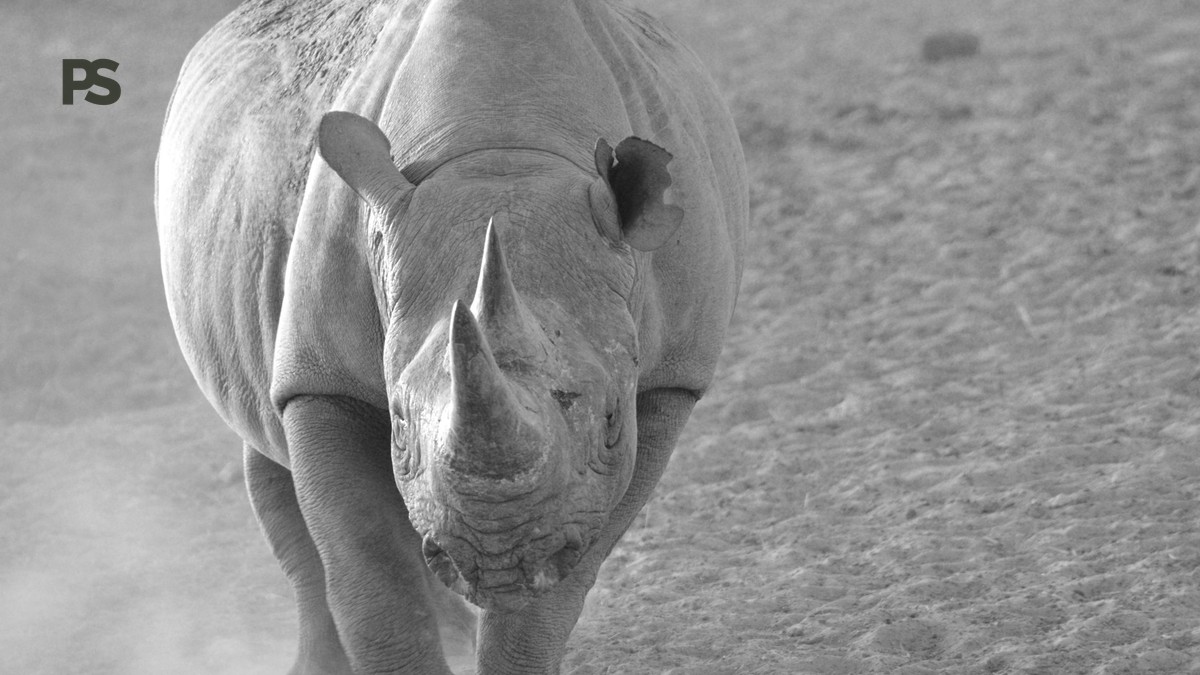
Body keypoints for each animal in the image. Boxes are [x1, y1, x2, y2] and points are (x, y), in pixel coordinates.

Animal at [156, 0, 746, 672]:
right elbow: (370, 565)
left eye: (612, 424)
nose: (498, 560)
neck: (506, 145)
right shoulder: (322, 378)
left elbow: (562, 580)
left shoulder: (671, 381)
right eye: (398, 424)